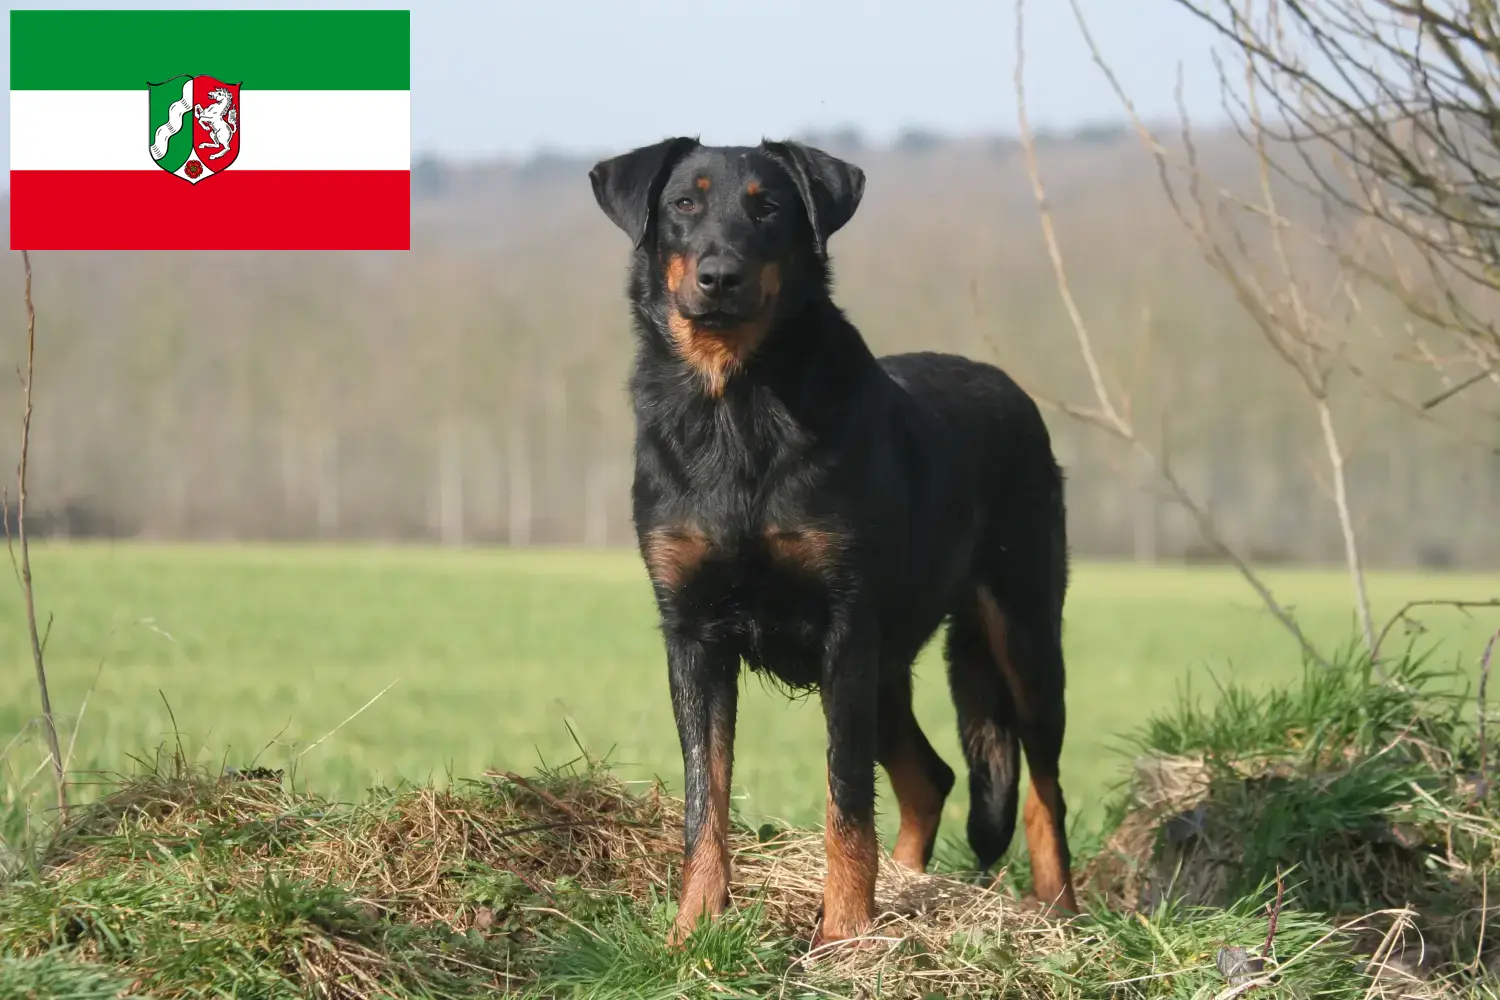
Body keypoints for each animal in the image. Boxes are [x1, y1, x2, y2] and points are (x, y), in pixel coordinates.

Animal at [588, 138, 1080, 947]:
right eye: (684, 204)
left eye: (769, 208)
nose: (719, 275)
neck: (736, 405)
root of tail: (1011, 391)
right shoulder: (692, 634)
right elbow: (704, 798)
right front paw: (695, 926)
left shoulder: (844, 630)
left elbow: (845, 798)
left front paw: (845, 933)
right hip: (891, 665)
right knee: (931, 778)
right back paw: (914, 885)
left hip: (1021, 632)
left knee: (1043, 789)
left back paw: (1058, 912)